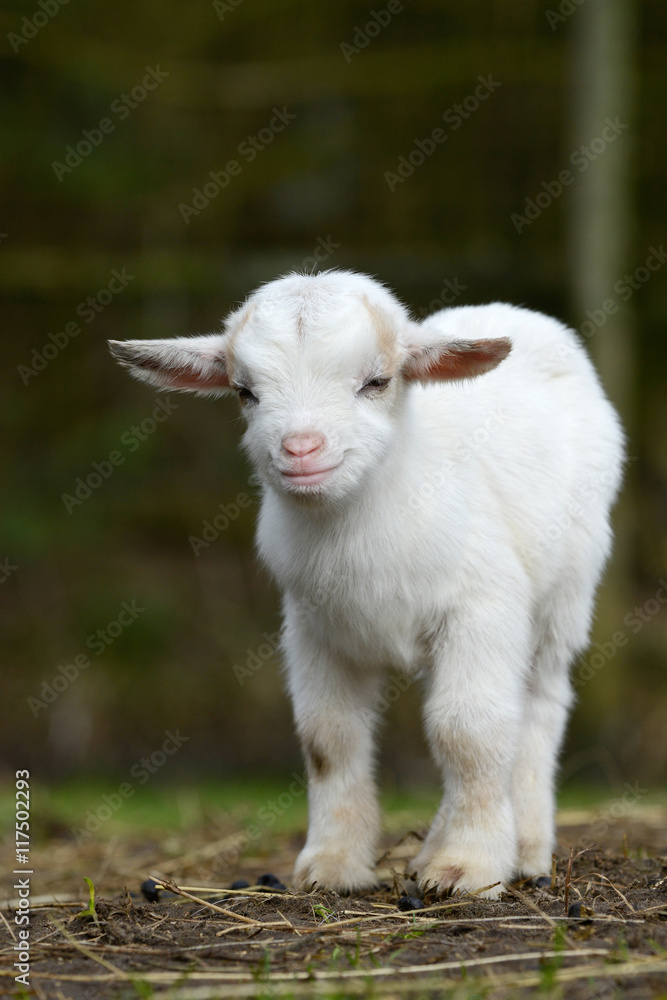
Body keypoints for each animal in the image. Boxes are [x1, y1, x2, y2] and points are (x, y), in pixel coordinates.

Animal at [109, 269, 624, 897]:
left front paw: (469, 868)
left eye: (376, 381)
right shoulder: (313, 627)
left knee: (538, 705)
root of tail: (517, 314)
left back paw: (523, 847)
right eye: (243, 391)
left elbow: (469, 731)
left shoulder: (483, 608)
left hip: (566, 594)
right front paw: (333, 866)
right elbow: (328, 737)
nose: (301, 449)